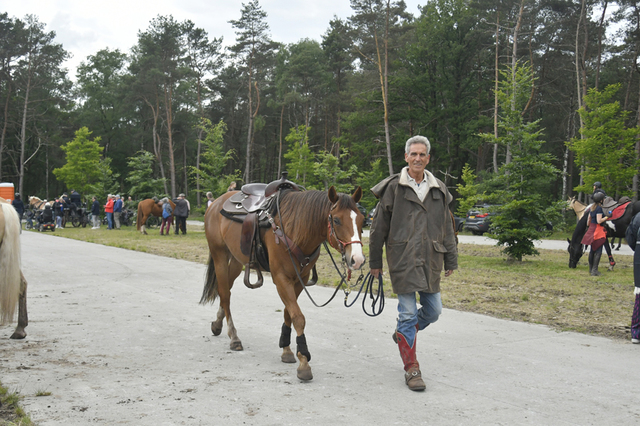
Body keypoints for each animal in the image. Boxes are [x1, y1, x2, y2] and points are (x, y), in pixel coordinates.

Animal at [202, 188, 368, 382]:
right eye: (336, 220)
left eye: (361, 220)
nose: (357, 259)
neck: (296, 229)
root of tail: (216, 203)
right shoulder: (281, 279)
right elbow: (298, 317)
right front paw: (304, 361)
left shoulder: (300, 279)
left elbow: (289, 313)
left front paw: (287, 349)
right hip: (219, 254)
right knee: (225, 293)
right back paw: (234, 336)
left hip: (237, 259)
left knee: (226, 288)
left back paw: (217, 324)